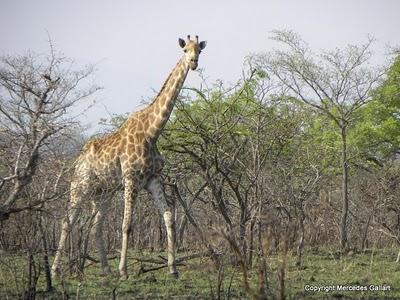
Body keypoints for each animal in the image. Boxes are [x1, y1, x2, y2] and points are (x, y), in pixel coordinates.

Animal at [52, 35, 208, 278]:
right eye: (184, 50)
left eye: (199, 51)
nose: (193, 63)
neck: (152, 132)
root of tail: (79, 159)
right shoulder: (131, 178)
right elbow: (127, 225)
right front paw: (124, 271)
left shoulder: (152, 179)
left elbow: (168, 218)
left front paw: (173, 269)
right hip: (81, 184)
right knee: (67, 221)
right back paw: (55, 269)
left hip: (103, 192)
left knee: (96, 225)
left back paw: (106, 270)